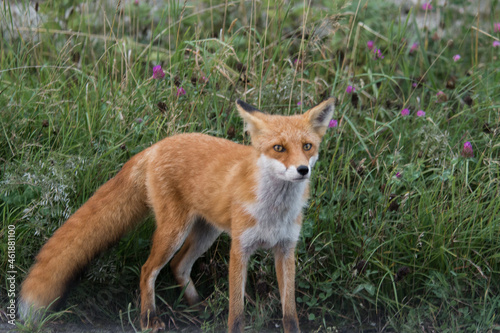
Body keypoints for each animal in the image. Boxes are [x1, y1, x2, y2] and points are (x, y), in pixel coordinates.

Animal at [17, 98, 334, 332]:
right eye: (279, 148)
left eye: (307, 147)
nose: (302, 170)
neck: (274, 211)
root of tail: (156, 146)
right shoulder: (240, 249)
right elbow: (237, 313)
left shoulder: (286, 249)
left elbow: (289, 312)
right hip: (174, 232)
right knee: (148, 270)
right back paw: (149, 319)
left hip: (206, 232)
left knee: (179, 266)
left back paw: (196, 305)